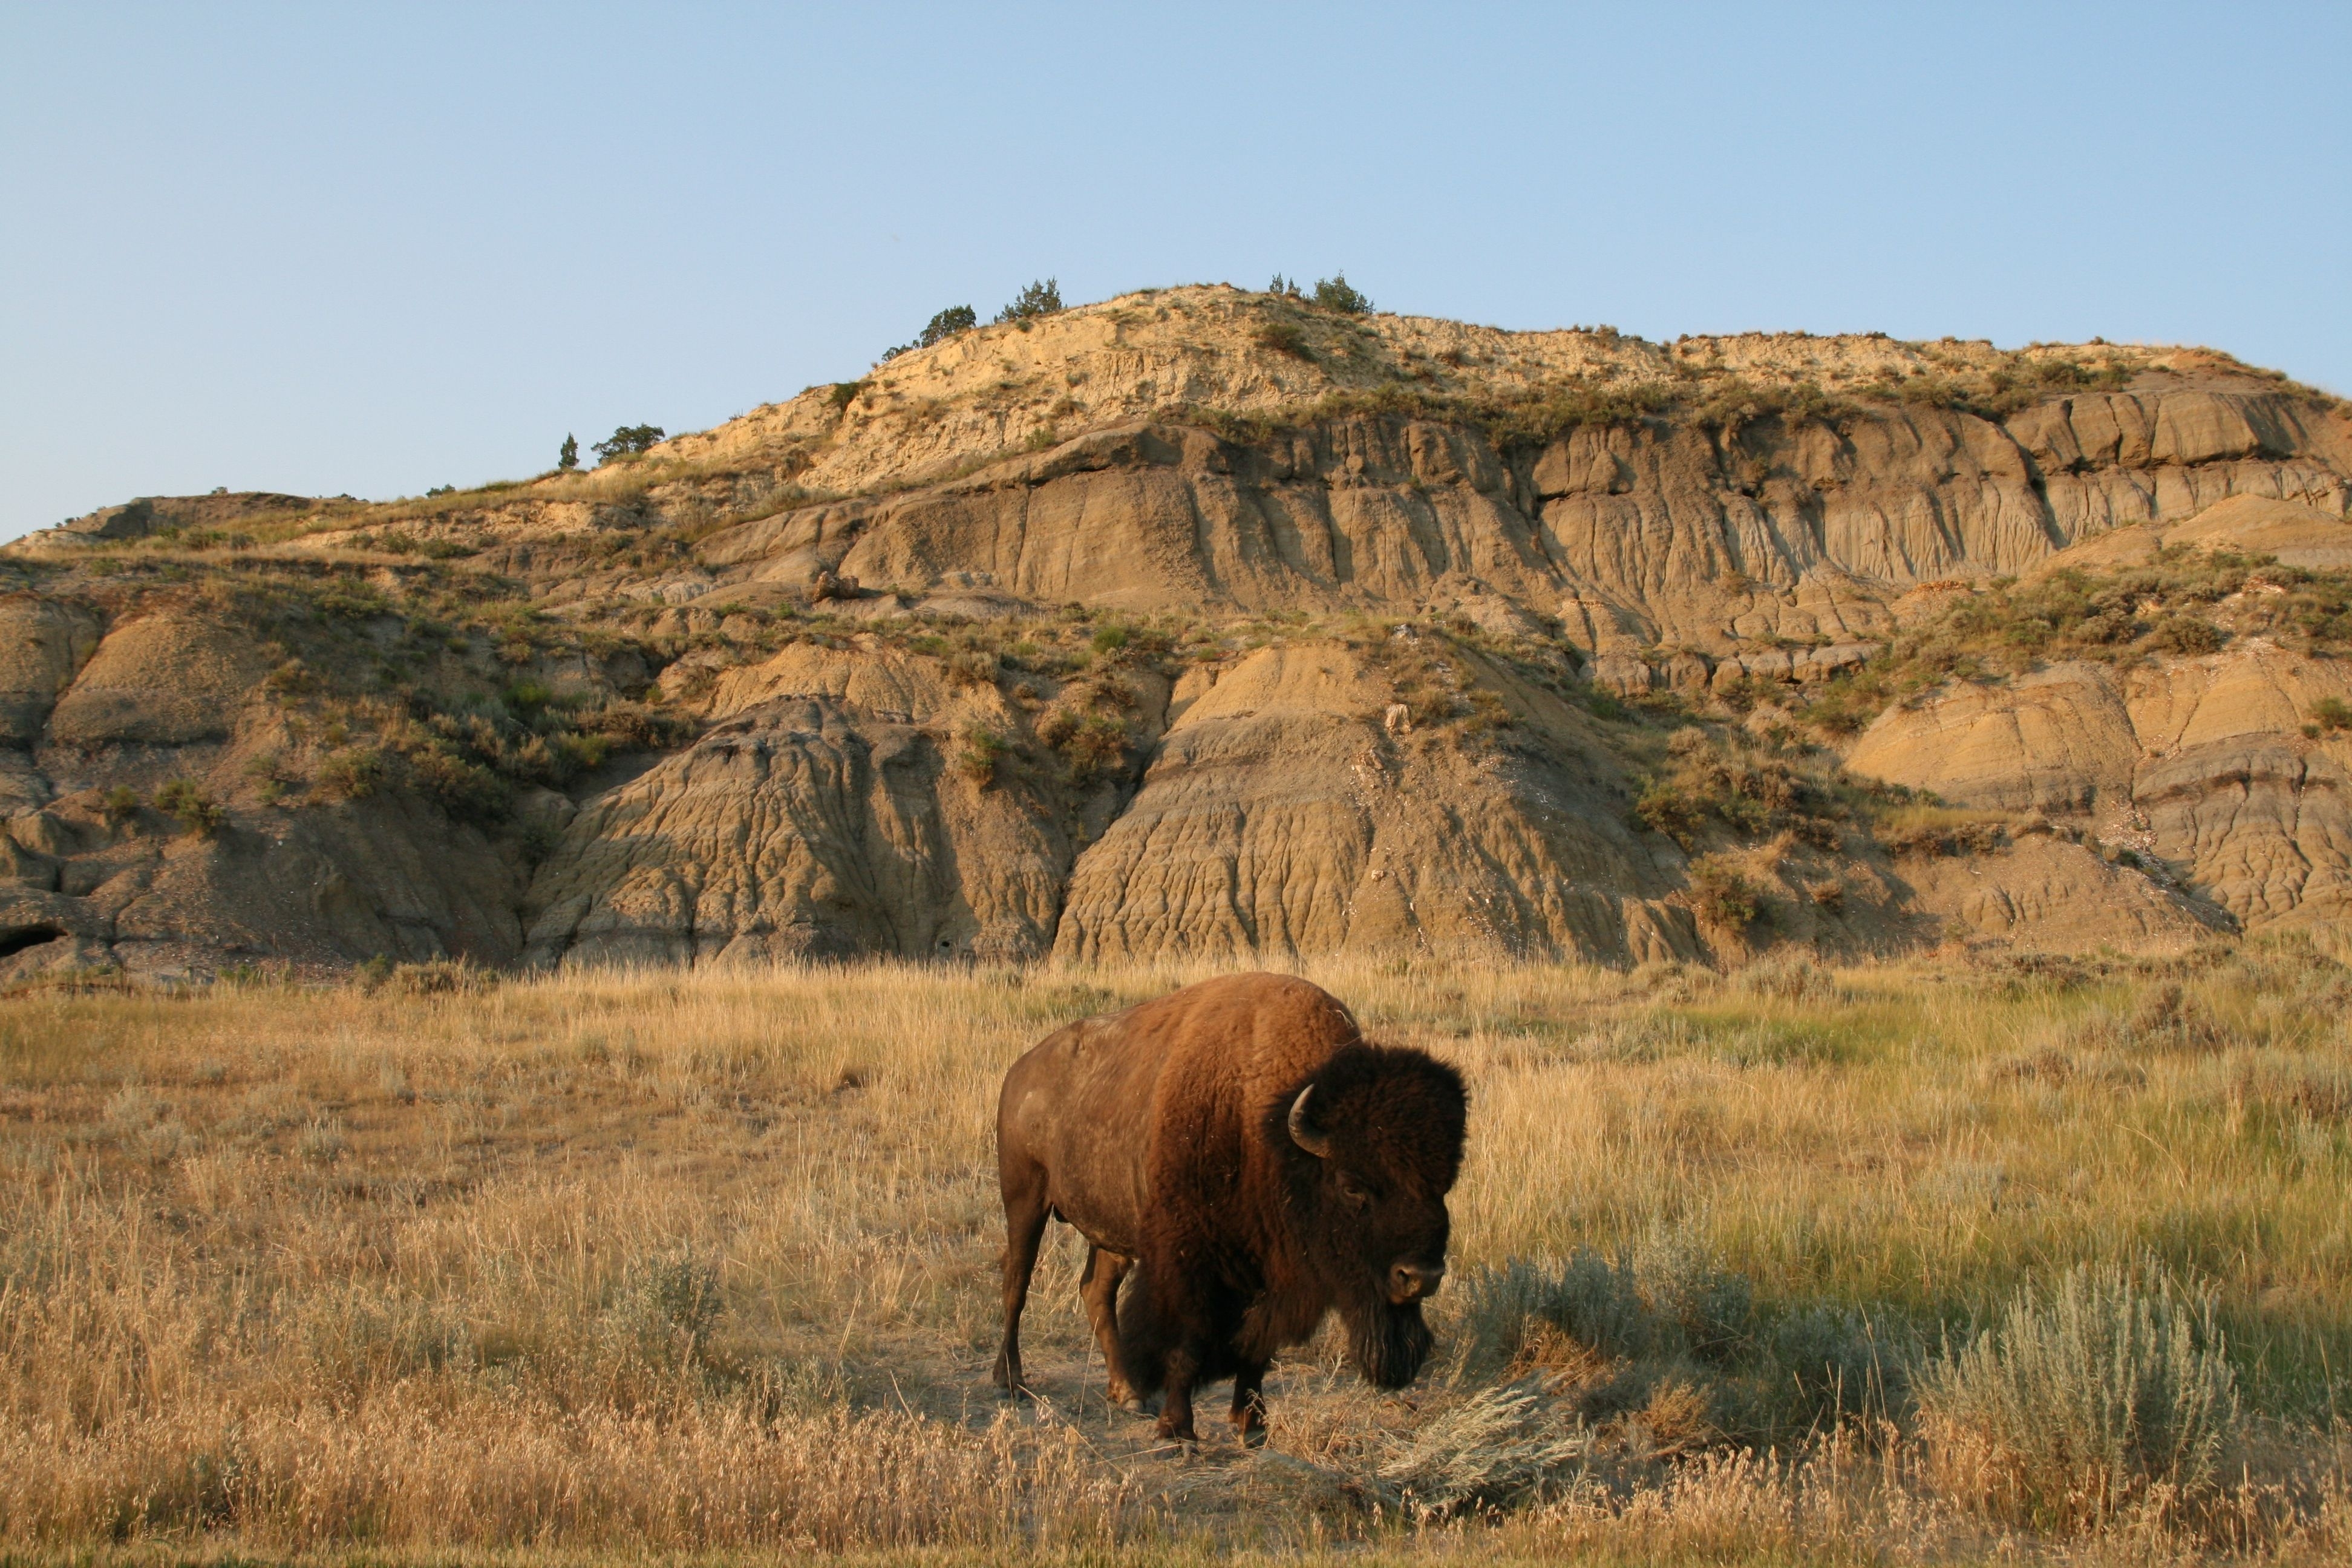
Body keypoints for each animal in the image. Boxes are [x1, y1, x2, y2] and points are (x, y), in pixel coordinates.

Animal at [992, 982, 1468, 1448]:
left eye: (1444, 1183)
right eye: (1352, 1186)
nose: (1420, 1277)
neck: (1263, 1124)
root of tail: (1019, 1073)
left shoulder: (1267, 1270)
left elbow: (1257, 1346)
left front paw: (1252, 1425)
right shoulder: (1188, 1260)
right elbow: (1186, 1343)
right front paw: (1179, 1432)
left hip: (1111, 1231)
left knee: (1096, 1292)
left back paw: (1128, 1393)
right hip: (1026, 1199)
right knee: (1017, 1282)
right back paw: (1010, 1381)